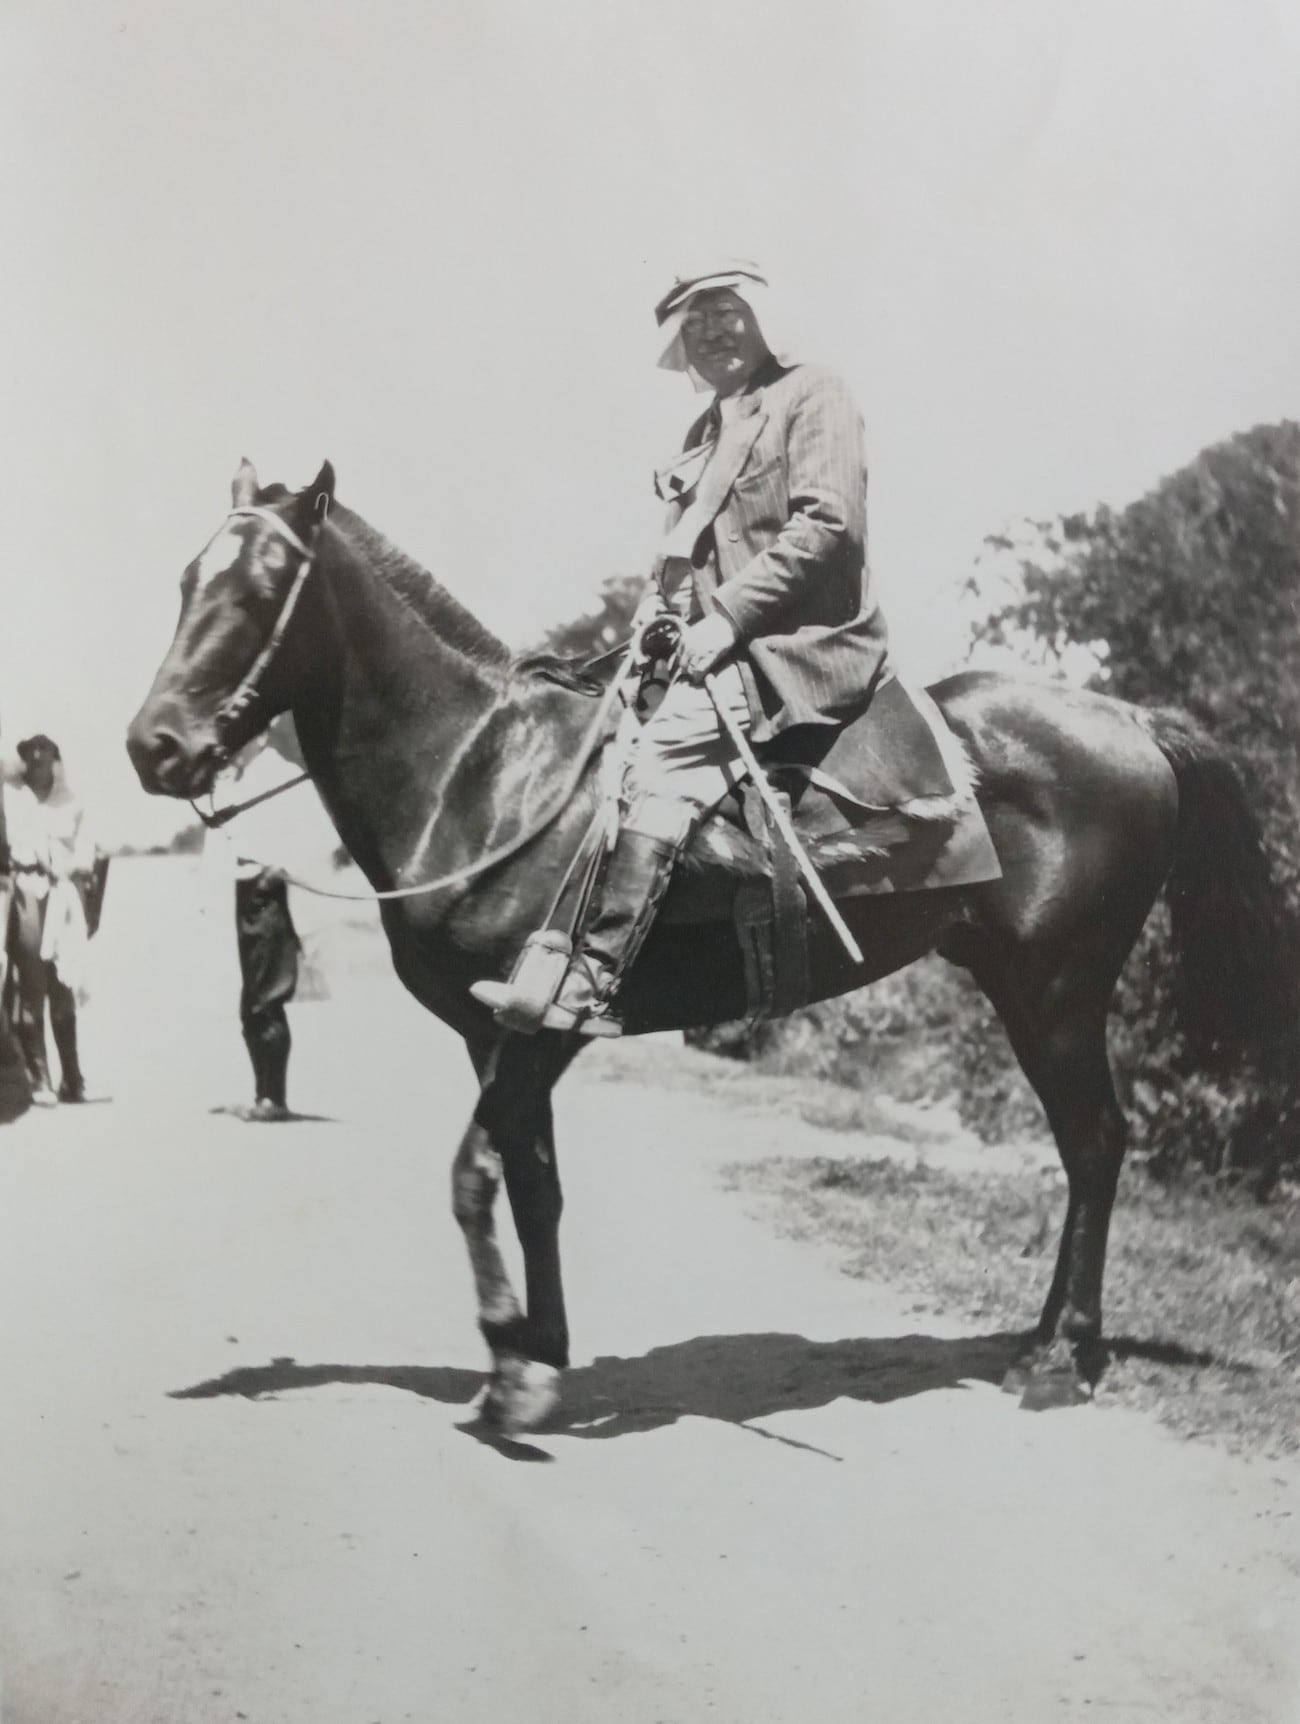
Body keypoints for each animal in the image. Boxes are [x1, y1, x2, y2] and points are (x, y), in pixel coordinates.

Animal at [129, 465, 1289, 1434]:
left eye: (261, 587)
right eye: (187, 579)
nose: (155, 747)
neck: (483, 773)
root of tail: (1129, 719)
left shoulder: (539, 1030)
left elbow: (471, 1175)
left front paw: (507, 1364)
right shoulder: (493, 1035)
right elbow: (533, 1184)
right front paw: (540, 1356)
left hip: (1055, 989)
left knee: (1094, 1143)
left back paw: (1063, 1357)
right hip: (1022, 985)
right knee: (1084, 1146)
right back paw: (1041, 1340)